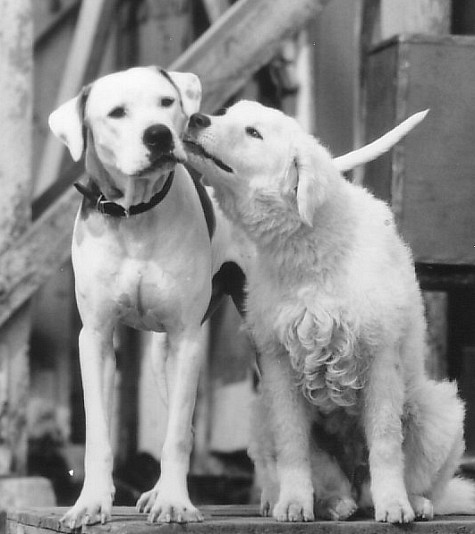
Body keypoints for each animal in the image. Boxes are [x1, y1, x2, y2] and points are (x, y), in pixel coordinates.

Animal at [184, 102, 475, 524]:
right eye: (227, 114)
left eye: (253, 132)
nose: (195, 118)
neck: (308, 248)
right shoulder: (278, 362)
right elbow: (293, 444)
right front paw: (294, 503)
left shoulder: (380, 355)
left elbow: (385, 442)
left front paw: (394, 505)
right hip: (262, 416)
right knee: (324, 480)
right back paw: (323, 502)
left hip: (439, 412)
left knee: (402, 482)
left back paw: (414, 502)